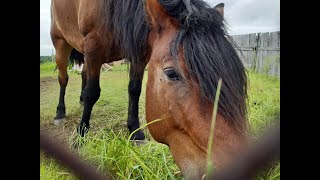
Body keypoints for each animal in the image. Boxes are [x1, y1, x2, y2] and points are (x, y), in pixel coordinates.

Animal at [51, 0, 249, 179]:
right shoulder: (93, 46)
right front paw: (81, 134)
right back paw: (60, 112)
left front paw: (136, 132)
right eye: (171, 73)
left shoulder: (140, 51)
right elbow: (93, 93)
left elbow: (134, 89)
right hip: (61, 43)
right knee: (63, 79)